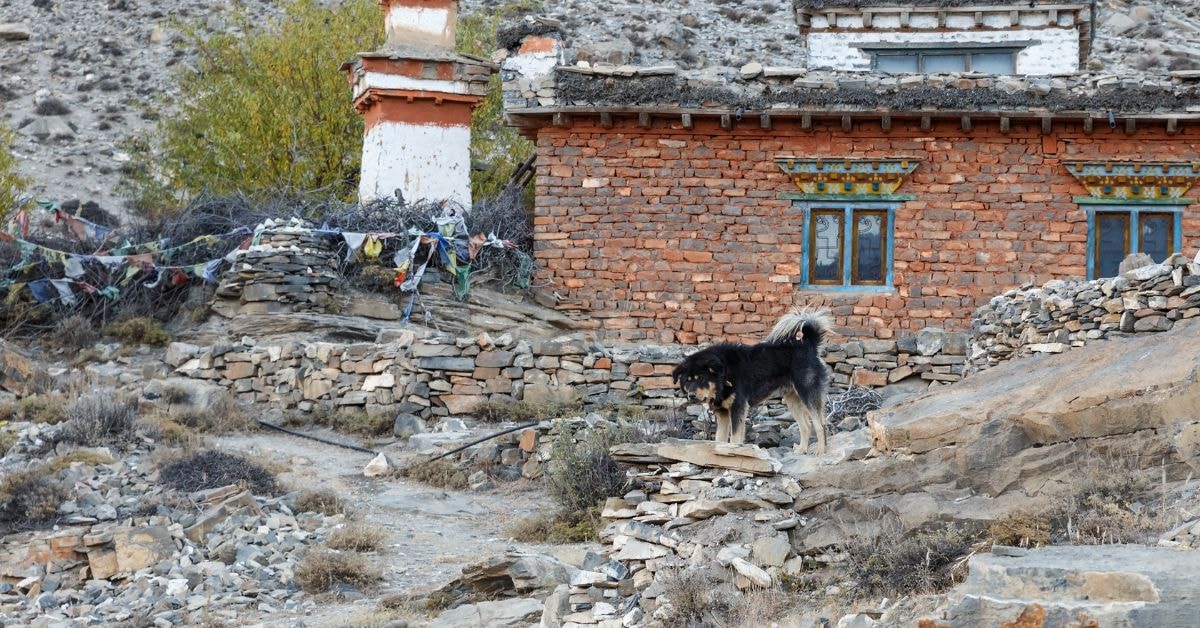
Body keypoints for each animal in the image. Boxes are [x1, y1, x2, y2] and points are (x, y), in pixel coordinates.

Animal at [672, 307, 830, 451]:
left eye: (701, 378)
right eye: (688, 380)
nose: (691, 396)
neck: (724, 373)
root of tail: (808, 345)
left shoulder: (738, 407)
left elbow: (734, 438)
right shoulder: (722, 413)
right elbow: (719, 439)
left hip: (808, 393)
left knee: (820, 425)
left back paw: (820, 451)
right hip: (792, 399)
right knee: (806, 426)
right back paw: (801, 450)